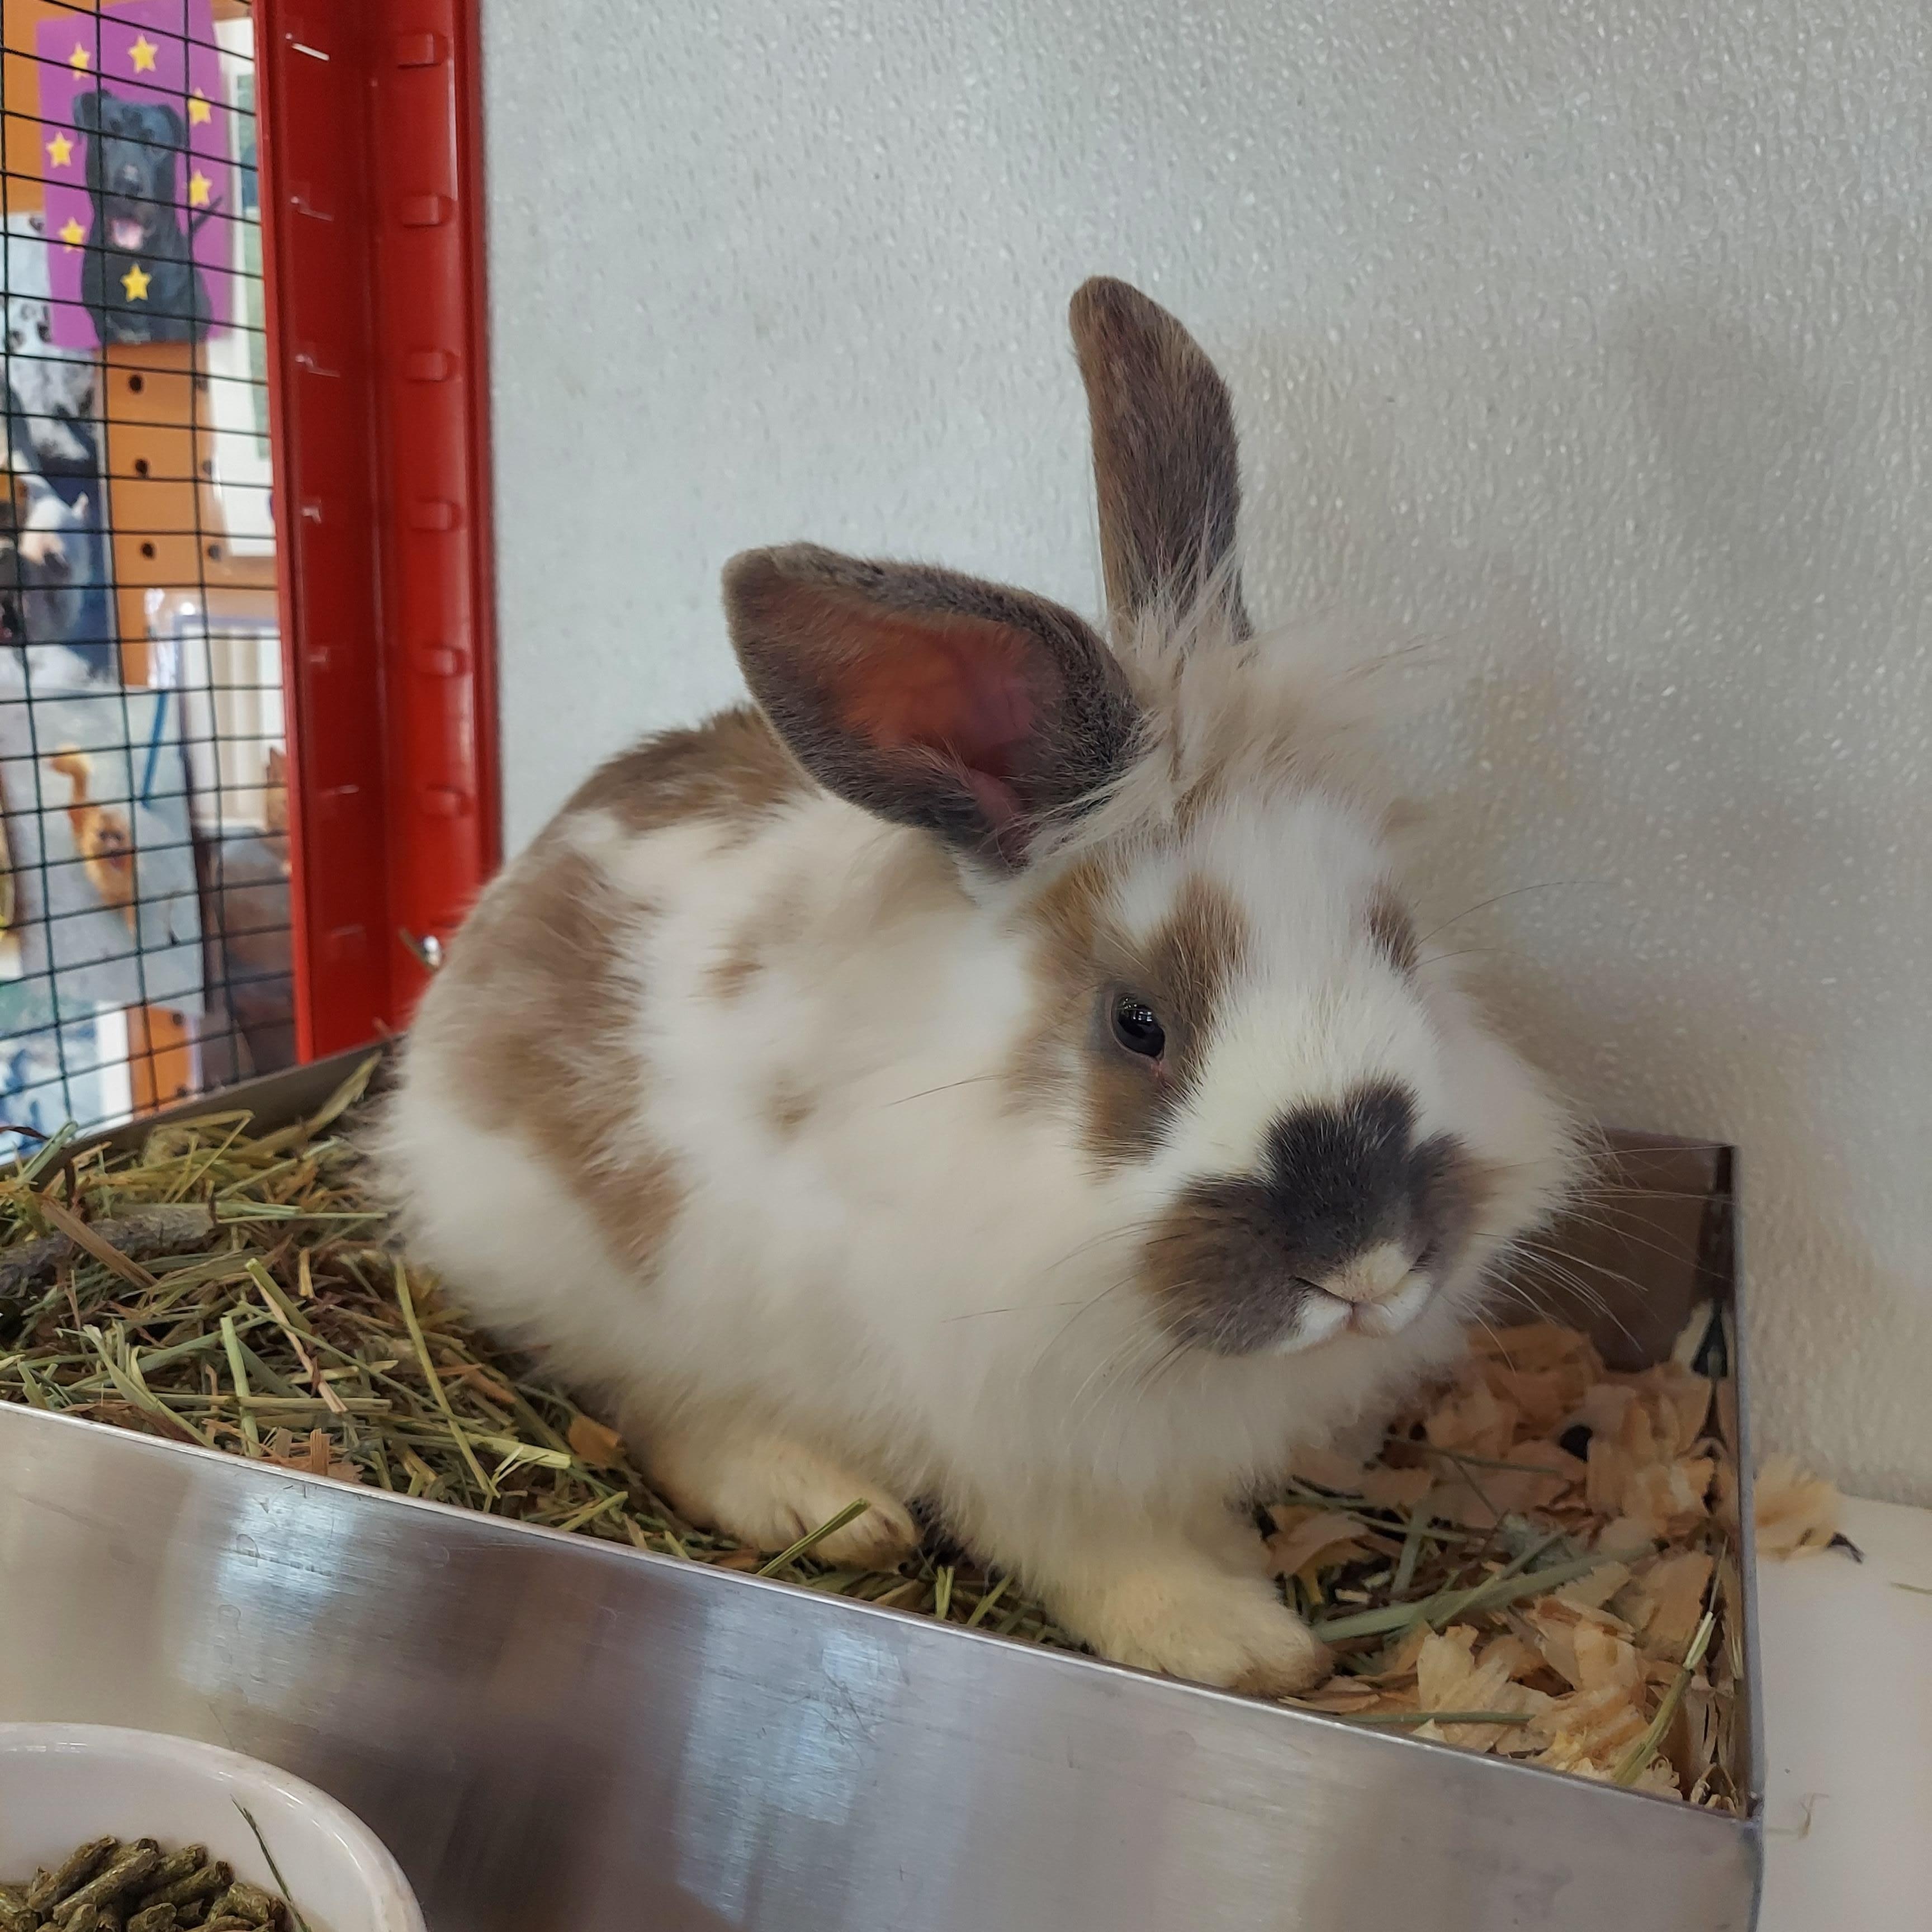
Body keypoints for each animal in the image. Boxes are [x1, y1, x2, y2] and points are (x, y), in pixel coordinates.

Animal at [382, 277, 1576, 1695]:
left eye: (1397, 942)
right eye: (1136, 1023)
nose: (1368, 1263)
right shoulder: (1001, 1418)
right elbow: (1086, 1542)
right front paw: (1238, 1643)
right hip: (604, 1281)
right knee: (663, 1405)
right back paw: (825, 1503)